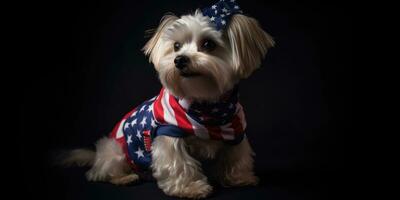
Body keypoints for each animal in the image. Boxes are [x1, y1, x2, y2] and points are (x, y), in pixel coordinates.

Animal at [62, 0, 276, 198]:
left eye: (208, 44)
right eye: (176, 46)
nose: (179, 59)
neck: (207, 106)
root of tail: (96, 156)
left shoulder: (236, 130)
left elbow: (237, 156)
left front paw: (240, 178)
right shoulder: (169, 133)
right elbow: (178, 163)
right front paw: (190, 188)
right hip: (115, 150)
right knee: (99, 173)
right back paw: (124, 177)